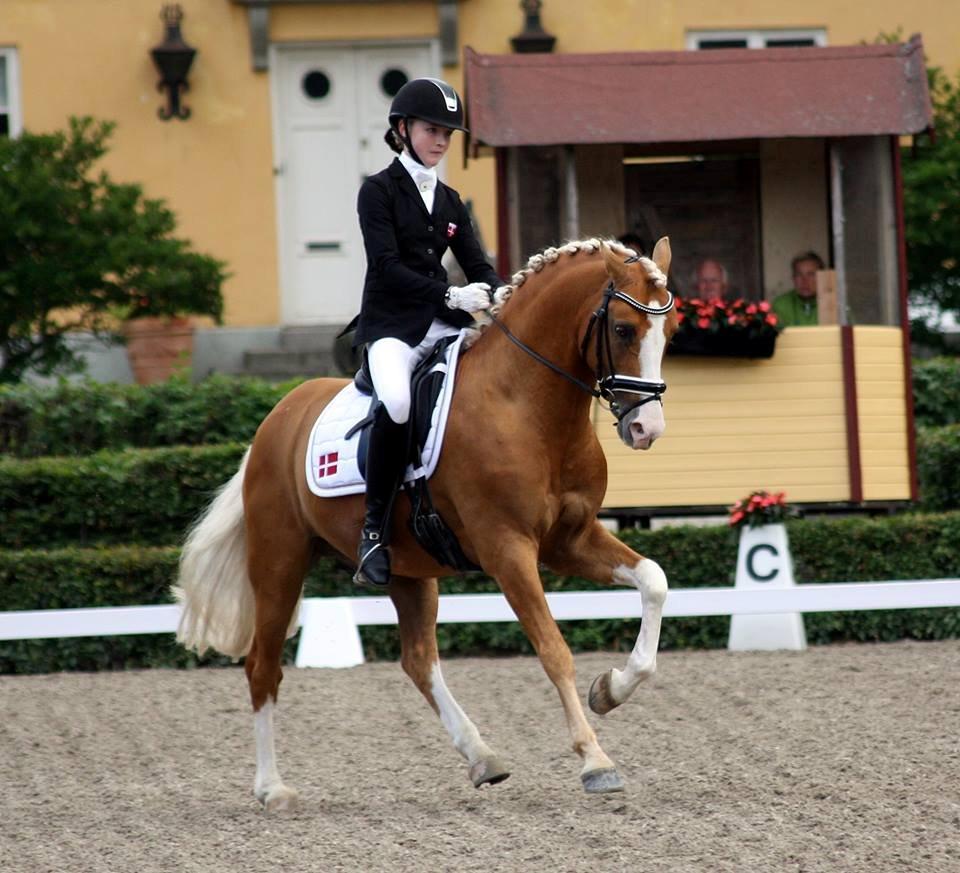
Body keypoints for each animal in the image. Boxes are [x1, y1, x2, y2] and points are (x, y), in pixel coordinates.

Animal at [174, 236, 679, 811]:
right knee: (262, 665)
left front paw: (610, 690)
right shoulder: (508, 551)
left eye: (671, 331)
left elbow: (654, 581)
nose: (645, 429)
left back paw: (483, 758)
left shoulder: (569, 541)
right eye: (623, 329)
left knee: (418, 660)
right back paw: (271, 788)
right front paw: (595, 760)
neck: (524, 404)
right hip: (279, 563)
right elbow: (553, 649)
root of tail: (274, 420)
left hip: (408, 573)